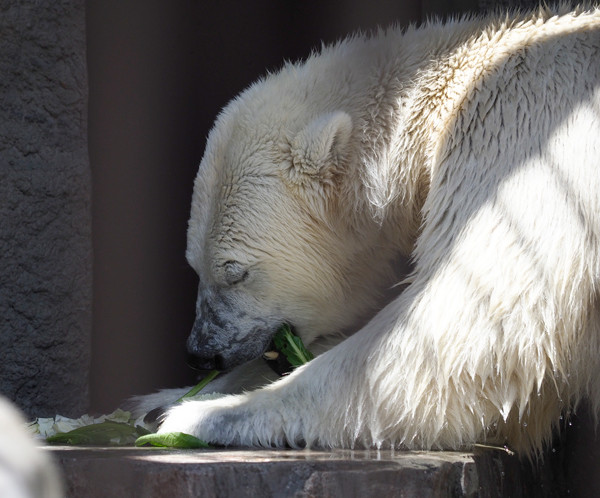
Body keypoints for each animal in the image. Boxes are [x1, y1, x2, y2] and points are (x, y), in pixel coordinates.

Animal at [151, 6, 600, 456]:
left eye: (236, 272)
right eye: (194, 266)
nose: (200, 353)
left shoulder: (517, 126)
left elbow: (464, 332)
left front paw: (201, 413)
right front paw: (165, 399)